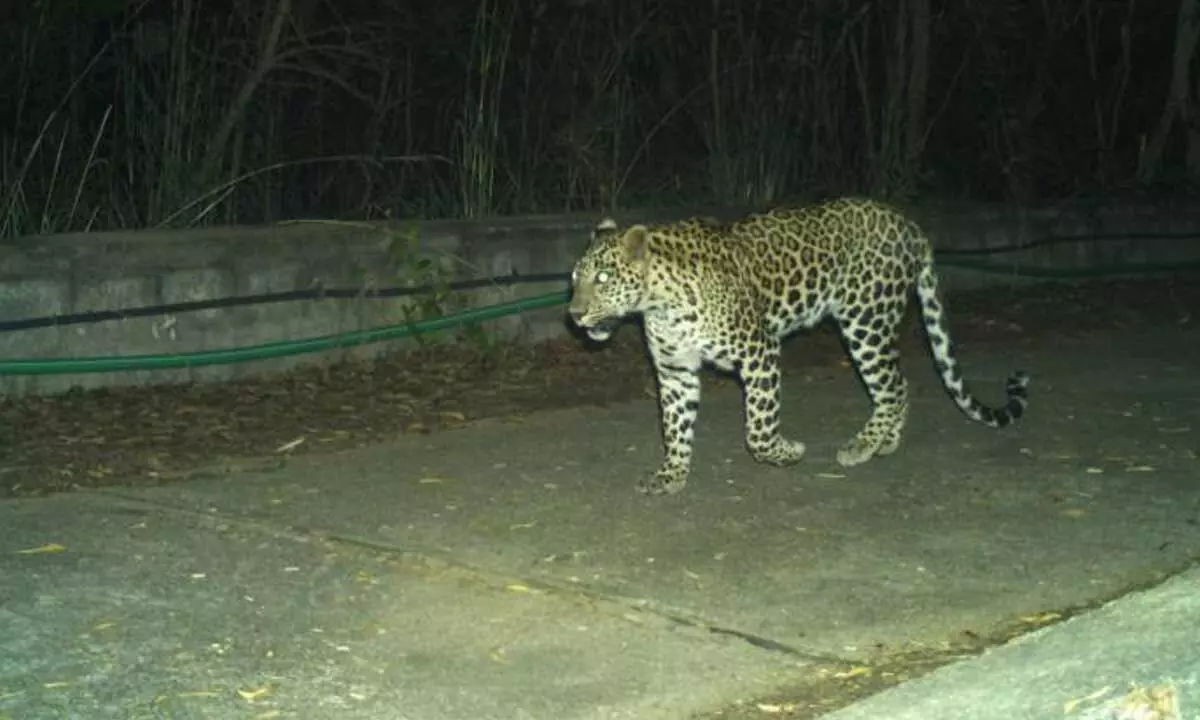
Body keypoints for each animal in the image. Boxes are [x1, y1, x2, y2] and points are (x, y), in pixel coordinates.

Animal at [568, 196, 1029, 496]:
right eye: (574, 279)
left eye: (603, 279)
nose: (573, 314)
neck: (660, 302)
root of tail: (909, 225)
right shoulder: (675, 371)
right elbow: (675, 426)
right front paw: (672, 475)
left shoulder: (759, 353)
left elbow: (757, 428)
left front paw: (787, 453)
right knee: (899, 382)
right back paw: (886, 442)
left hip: (865, 320)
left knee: (891, 387)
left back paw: (861, 446)